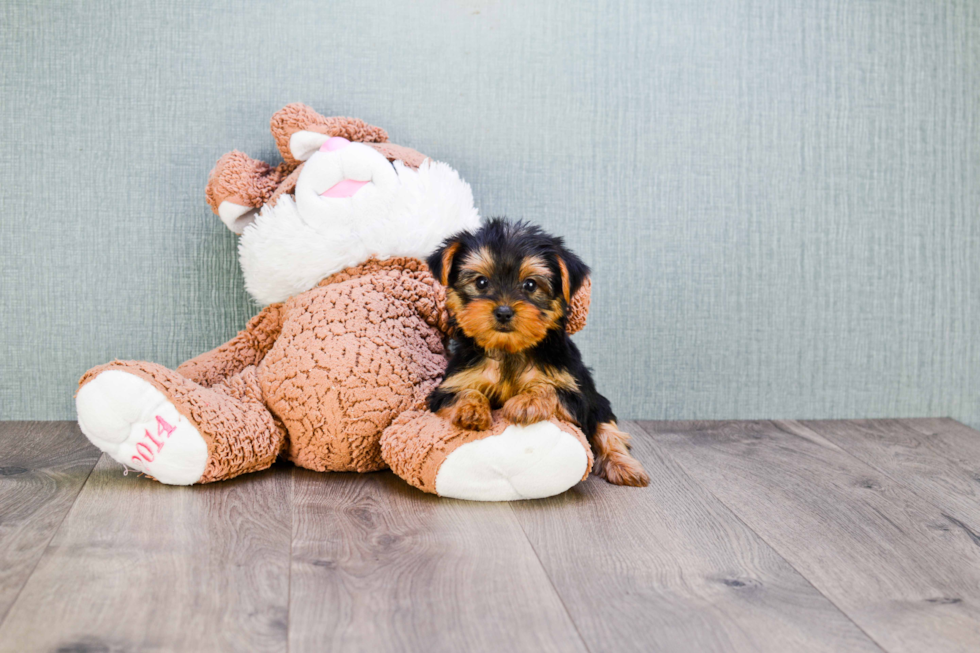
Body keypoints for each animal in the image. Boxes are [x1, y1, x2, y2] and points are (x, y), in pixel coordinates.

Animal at [424, 218, 648, 484]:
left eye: (530, 284)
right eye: (481, 282)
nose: (503, 312)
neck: (509, 350)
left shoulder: (575, 393)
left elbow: (551, 388)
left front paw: (527, 402)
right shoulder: (449, 386)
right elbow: (463, 392)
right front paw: (471, 410)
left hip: (597, 401)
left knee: (606, 429)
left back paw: (625, 467)